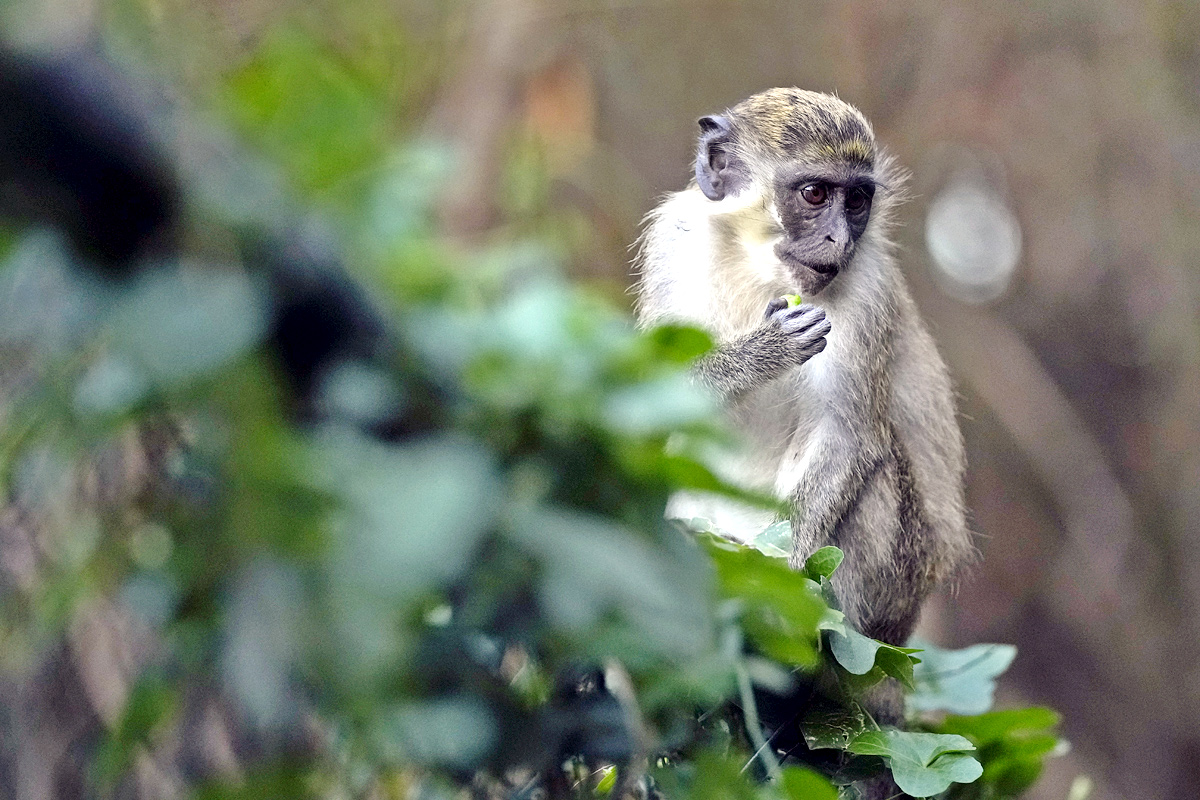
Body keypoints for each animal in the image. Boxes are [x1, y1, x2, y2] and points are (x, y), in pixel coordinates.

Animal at [633, 89, 969, 652]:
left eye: (855, 201)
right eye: (814, 194)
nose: (837, 240)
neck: (760, 268)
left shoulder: (868, 287)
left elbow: (847, 437)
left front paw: (775, 594)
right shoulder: (673, 244)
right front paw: (761, 351)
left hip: (890, 586)